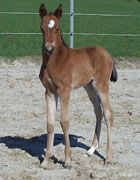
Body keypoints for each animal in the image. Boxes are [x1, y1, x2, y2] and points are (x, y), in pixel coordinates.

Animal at [38, 3, 117, 169]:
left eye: (57, 29)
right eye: (42, 28)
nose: (49, 49)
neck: (55, 61)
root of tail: (107, 54)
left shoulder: (65, 91)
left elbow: (64, 122)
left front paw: (67, 161)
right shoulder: (49, 92)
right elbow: (50, 123)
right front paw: (45, 161)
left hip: (101, 85)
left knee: (108, 114)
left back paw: (108, 157)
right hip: (89, 87)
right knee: (98, 112)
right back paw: (91, 150)